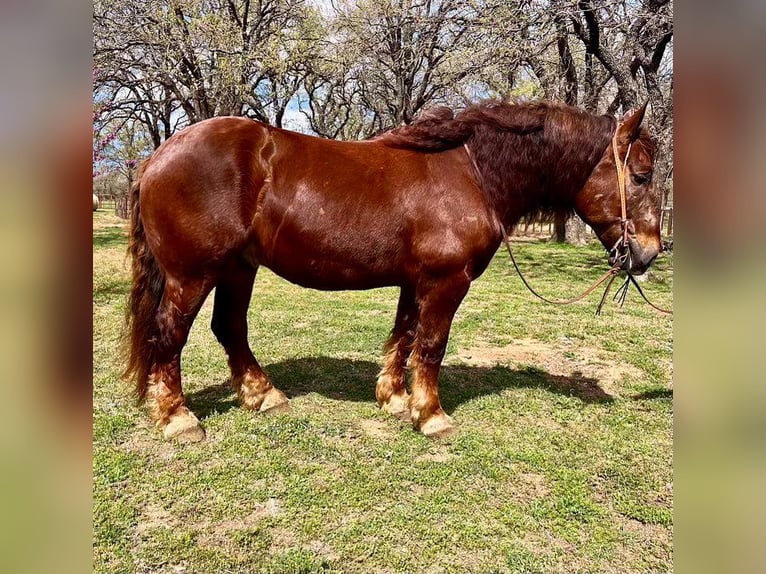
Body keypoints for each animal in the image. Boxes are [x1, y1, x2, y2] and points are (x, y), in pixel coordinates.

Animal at [124, 100, 660, 440]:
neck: (472, 174)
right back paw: (178, 418)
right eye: (641, 175)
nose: (650, 253)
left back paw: (263, 395)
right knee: (170, 334)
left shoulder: (415, 281)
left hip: (238, 269)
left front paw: (395, 399)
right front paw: (431, 415)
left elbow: (404, 336)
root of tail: (157, 156)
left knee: (229, 328)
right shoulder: (447, 282)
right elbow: (431, 345)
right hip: (193, 275)